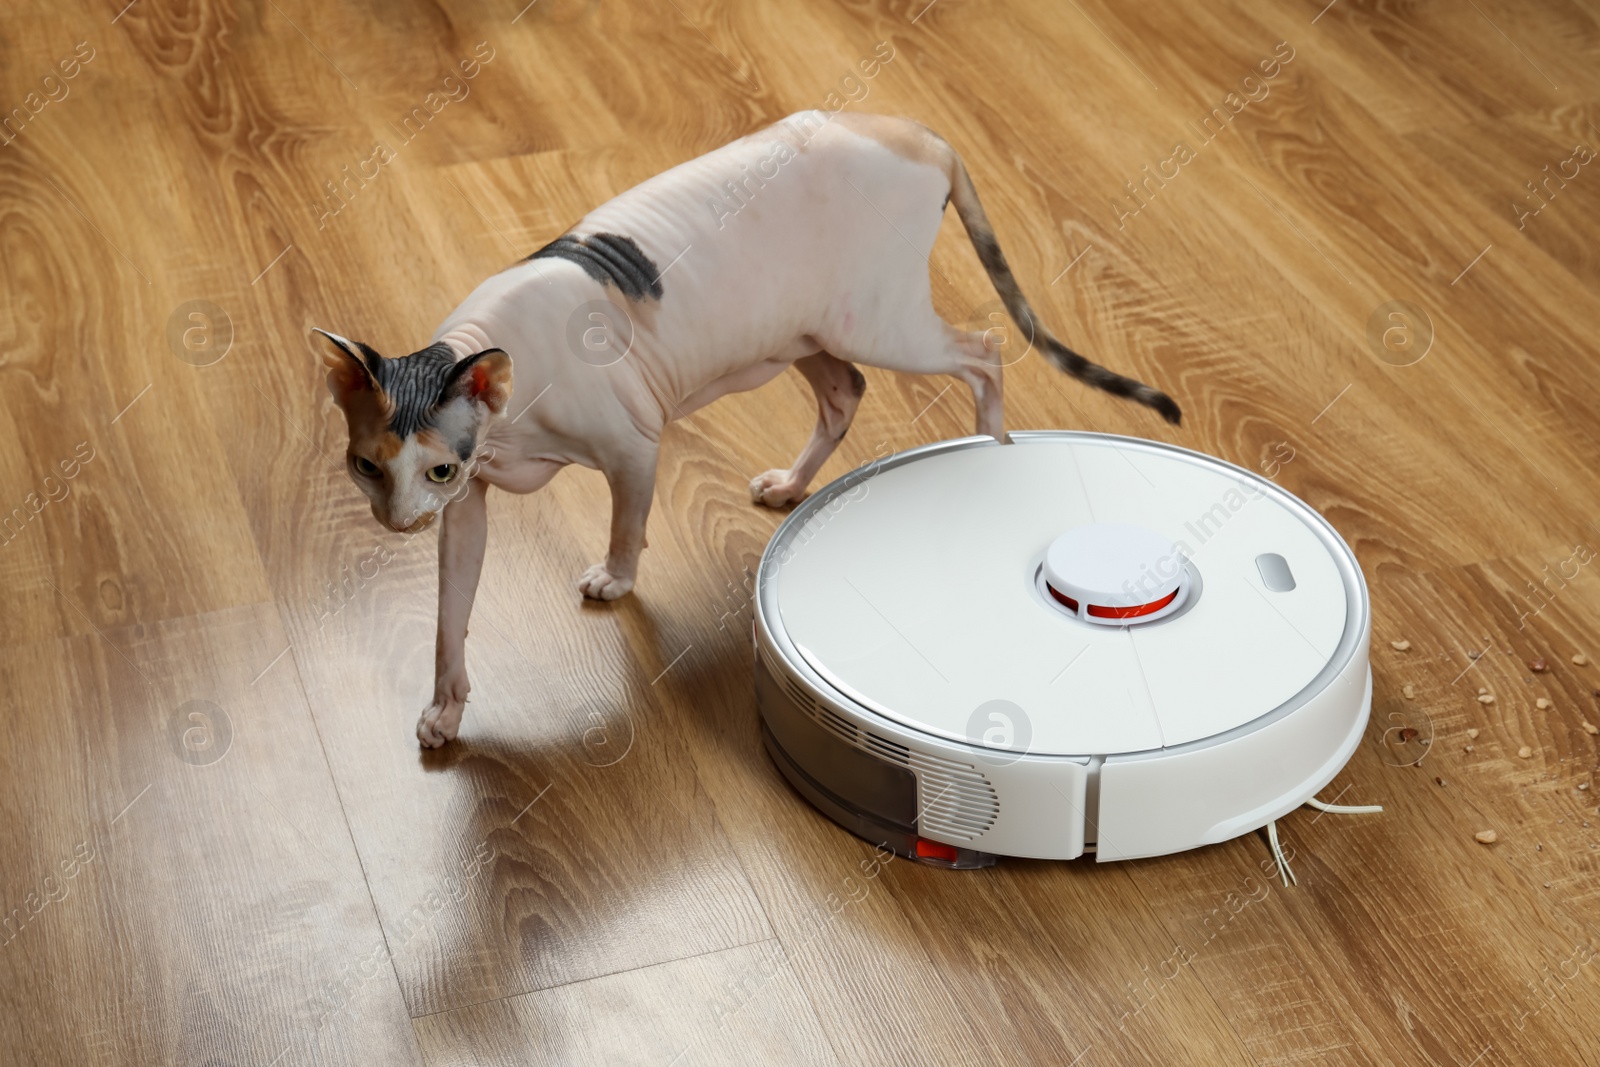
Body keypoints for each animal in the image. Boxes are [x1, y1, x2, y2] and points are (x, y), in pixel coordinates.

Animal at [315, 108, 1177, 748]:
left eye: (436, 467)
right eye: (367, 466)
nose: (397, 522)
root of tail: (918, 132)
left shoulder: (633, 445)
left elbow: (627, 523)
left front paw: (615, 579)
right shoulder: (468, 509)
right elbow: (448, 618)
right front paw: (446, 710)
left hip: (878, 320)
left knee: (987, 351)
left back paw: (990, 453)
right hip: (807, 328)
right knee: (846, 391)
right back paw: (794, 484)